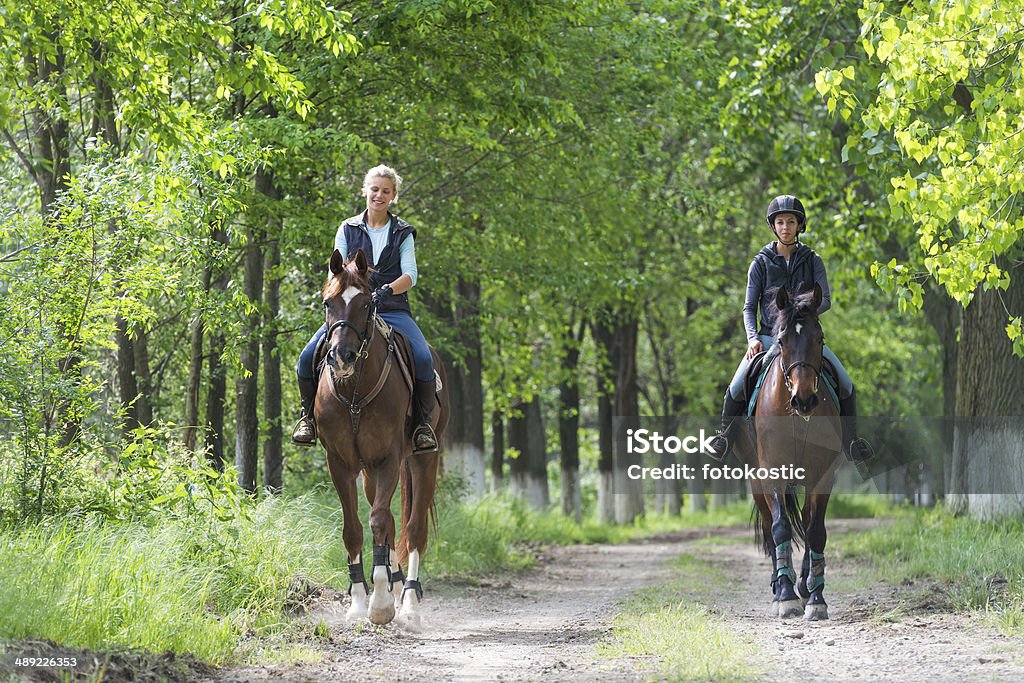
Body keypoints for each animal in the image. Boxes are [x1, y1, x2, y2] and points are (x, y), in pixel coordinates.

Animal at [315, 248, 448, 626]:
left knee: (413, 529)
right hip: (369, 472)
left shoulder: (389, 459)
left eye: (365, 304)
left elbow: (378, 521)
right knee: (388, 522)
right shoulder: (340, 463)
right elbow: (354, 528)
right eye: (328, 303)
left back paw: (410, 604)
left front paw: (381, 606)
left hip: (422, 459)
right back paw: (395, 584)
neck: (355, 391)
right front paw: (360, 602)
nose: (341, 357)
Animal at [737, 282, 839, 618]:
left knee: (806, 523)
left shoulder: (823, 475)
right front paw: (785, 596)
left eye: (819, 339)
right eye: (781, 340)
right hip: (755, 480)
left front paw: (816, 599)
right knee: (769, 526)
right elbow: (780, 527)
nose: (803, 400)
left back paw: (805, 584)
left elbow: (815, 530)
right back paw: (779, 585)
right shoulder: (771, 471)